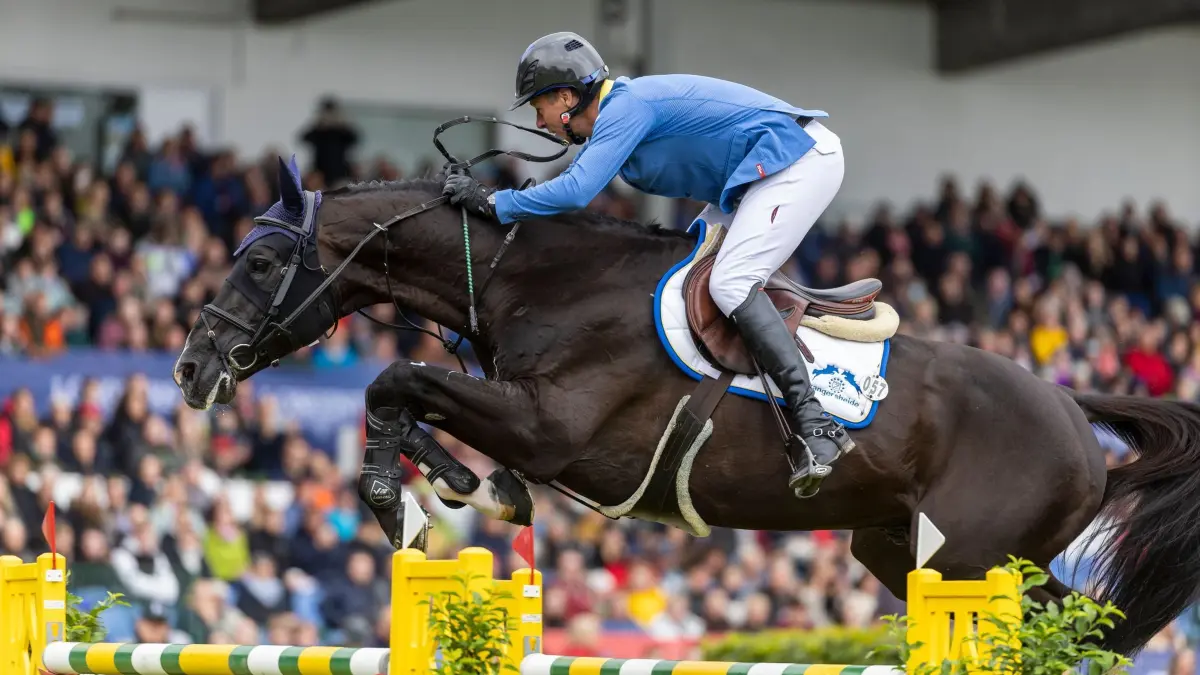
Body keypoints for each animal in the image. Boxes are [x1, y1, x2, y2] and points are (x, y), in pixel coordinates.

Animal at [174, 155, 1200, 656]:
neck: (531, 277)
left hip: (972, 559)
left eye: (261, 262)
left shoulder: (553, 430)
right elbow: (414, 394)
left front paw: (408, 499)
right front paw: (463, 483)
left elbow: (394, 380)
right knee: (1090, 630)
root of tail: (1073, 412)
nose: (189, 368)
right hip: (907, 549)